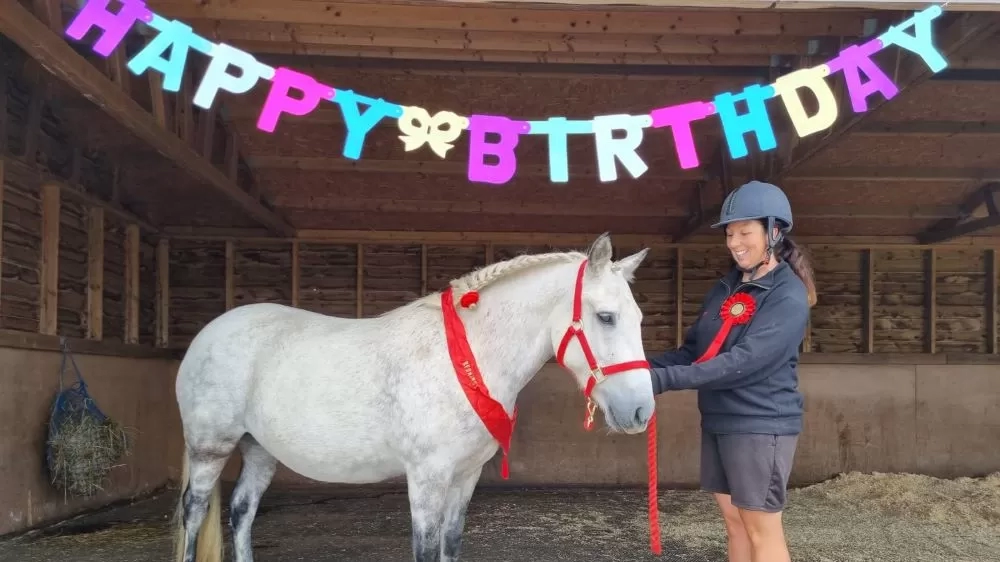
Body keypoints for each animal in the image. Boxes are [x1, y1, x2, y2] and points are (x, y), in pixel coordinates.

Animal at [171, 232, 656, 562]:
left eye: (639, 318)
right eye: (606, 317)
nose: (640, 411)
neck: (464, 359)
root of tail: (209, 332)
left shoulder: (464, 477)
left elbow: (450, 543)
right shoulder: (427, 478)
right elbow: (424, 548)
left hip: (259, 449)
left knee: (241, 511)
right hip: (210, 448)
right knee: (194, 511)